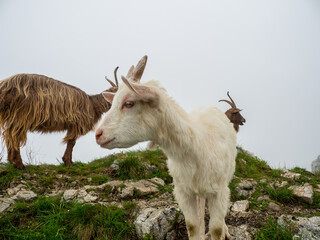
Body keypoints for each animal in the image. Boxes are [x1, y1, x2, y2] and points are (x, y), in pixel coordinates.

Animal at [96, 55, 236, 239]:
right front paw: (198, 230)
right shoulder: (183, 191)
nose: (98, 134)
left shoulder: (219, 190)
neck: (197, 146)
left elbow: (216, 228)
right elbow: (192, 226)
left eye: (129, 103)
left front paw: (221, 231)